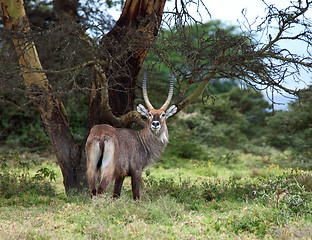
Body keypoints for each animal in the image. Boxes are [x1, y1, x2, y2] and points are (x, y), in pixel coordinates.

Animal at [85, 70, 177, 200]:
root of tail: (102, 133)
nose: (155, 123)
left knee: (92, 190)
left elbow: (116, 194)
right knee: (101, 189)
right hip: (108, 168)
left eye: (163, 114)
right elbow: (136, 195)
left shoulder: (121, 174)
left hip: (92, 167)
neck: (142, 140)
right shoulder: (136, 170)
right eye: (149, 114)